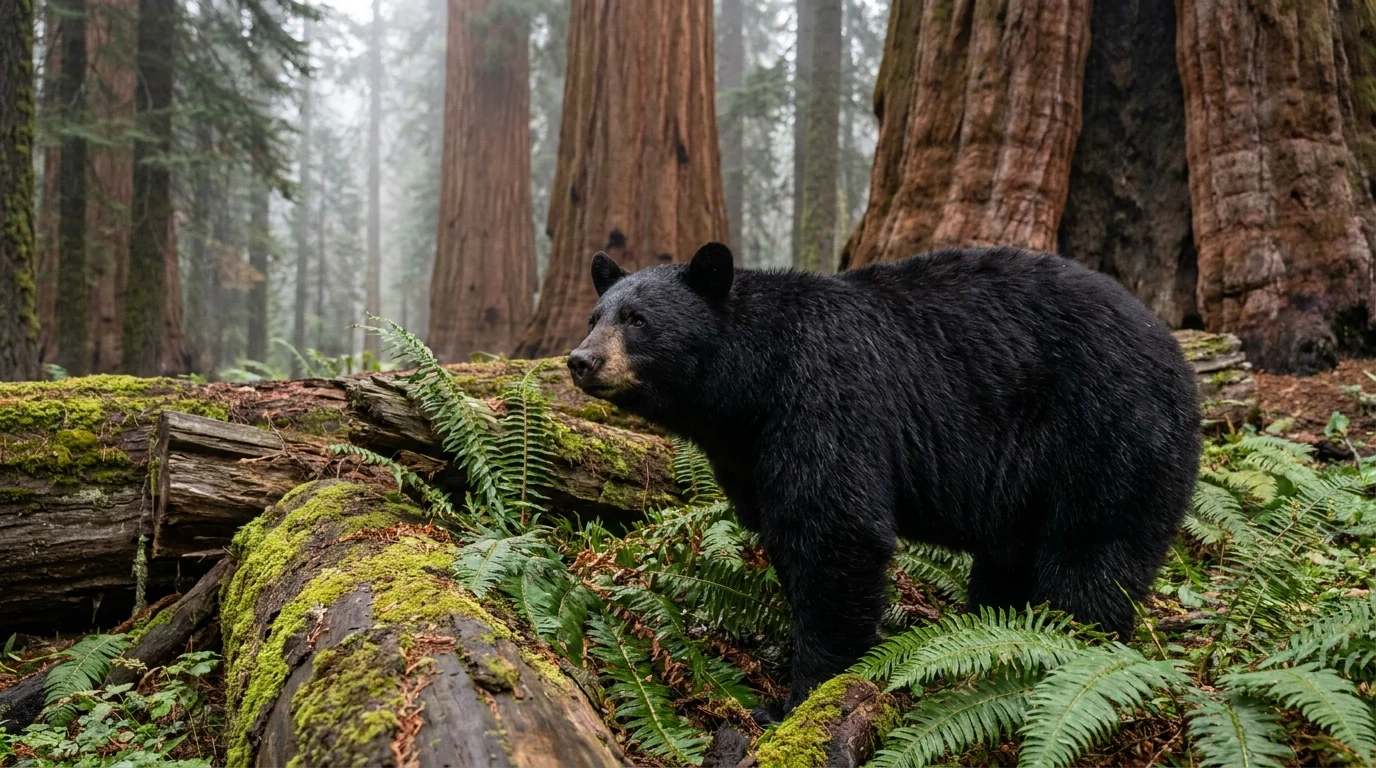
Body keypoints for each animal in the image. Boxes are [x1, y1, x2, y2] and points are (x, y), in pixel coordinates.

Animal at [566, 241, 1202, 716]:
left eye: (638, 320)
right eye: (595, 317)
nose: (580, 360)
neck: (752, 385)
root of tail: (1177, 354)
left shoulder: (826, 399)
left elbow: (838, 533)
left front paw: (800, 698)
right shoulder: (751, 453)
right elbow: (788, 536)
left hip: (1110, 433)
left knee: (1092, 554)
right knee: (1011, 563)